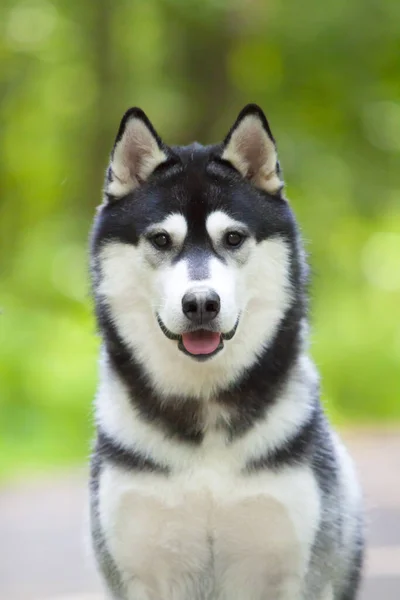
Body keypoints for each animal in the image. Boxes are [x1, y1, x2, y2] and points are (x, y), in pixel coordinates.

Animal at [89, 105, 364, 596]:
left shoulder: (297, 571)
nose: (201, 303)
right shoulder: (139, 571)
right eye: (161, 240)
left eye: (233, 238)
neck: (205, 407)